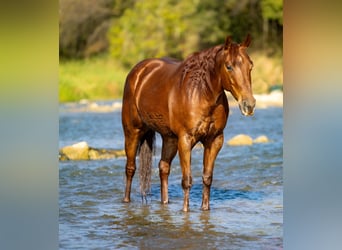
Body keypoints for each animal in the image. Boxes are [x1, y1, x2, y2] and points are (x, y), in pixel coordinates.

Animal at [121, 35, 255, 211]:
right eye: (229, 66)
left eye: (250, 65)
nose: (249, 105)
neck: (201, 93)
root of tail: (138, 72)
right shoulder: (185, 140)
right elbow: (187, 180)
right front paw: (185, 211)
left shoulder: (214, 140)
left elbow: (207, 177)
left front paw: (205, 209)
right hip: (132, 132)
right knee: (130, 169)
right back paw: (126, 200)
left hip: (169, 138)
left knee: (163, 168)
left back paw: (165, 202)